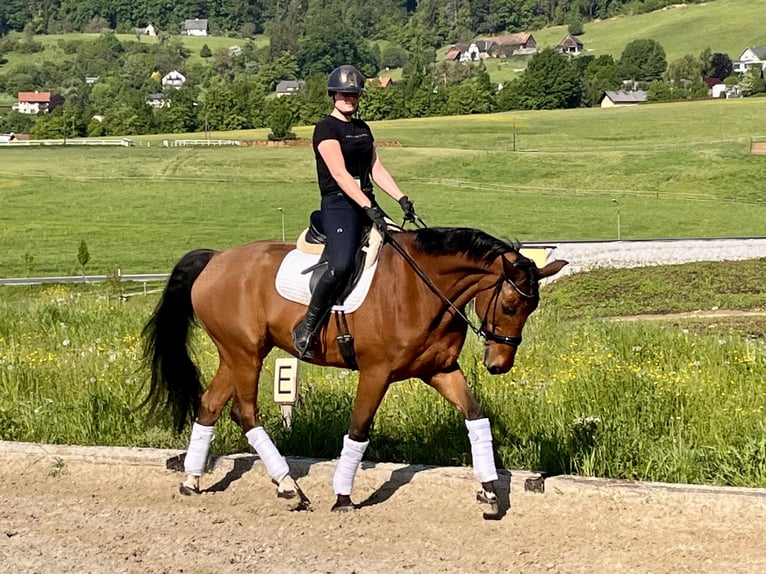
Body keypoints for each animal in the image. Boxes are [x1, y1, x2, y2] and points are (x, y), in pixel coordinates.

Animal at [142, 227, 568, 520]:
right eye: (510, 304)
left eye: (531, 307)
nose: (499, 364)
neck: (422, 288)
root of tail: (215, 259)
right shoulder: (375, 372)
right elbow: (359, 430)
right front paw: (343, 497)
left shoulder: (441, 370)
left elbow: (476, 417)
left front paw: (490, 494)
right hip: (245, 354)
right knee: (244, 412)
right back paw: (290, 488)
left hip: (236, 354)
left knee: (210, 406)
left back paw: (191, 481)